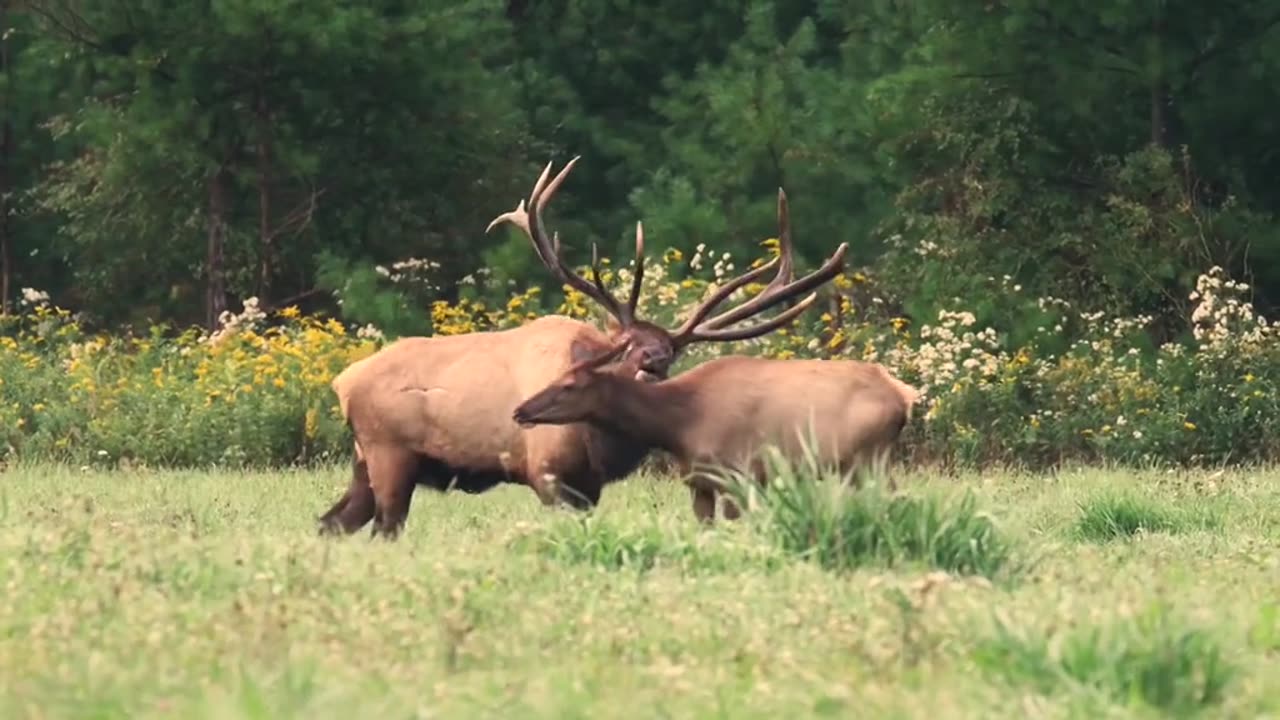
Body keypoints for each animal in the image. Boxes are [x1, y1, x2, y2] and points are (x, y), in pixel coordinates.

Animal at [314, 158, 844, 538]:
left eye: (671, 352)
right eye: (628, 345)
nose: (653, 363)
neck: (600, 444)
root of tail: (343, 382)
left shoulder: (590, 489)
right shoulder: (547, 474)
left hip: (365, 460)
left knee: (332, 523)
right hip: (389, 450)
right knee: (384, 527)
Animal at [509, 345, 921, 517]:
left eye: (569, 384)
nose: (520, 410)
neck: (678, 427)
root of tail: (904, 396)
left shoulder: (740, 473)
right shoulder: (699, 482)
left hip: (868, 458)